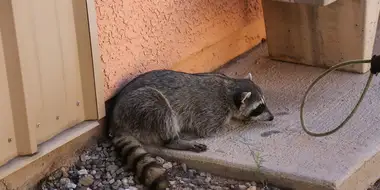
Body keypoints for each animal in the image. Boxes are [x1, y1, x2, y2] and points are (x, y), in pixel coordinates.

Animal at [106, 70, 274, 190]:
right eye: (259, 108)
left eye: (264, 103)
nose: (272, 117)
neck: (229, 86)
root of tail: (115, 120)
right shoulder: (212, 109)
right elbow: (210, 129)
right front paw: (237, 122)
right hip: (139, 106)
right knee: (159, 105)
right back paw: (174, 140)